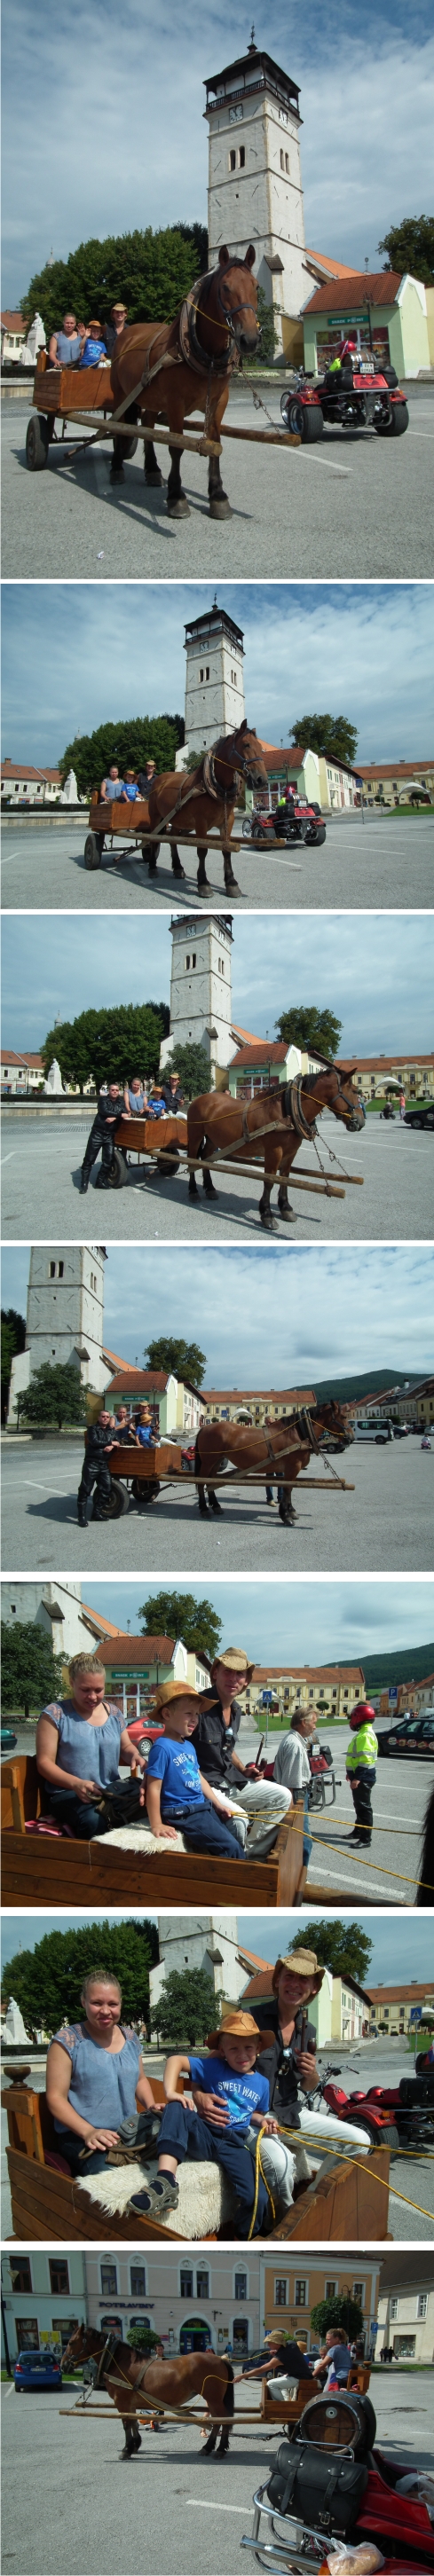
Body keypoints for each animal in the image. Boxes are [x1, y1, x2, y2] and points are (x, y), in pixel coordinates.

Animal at [60, 2329, 233, 2462]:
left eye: (71, 2342)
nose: (63, 2365)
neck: (120, 2361)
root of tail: (220, 2359)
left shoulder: (121, 2401)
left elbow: (126, 2424)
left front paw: (126, 2449)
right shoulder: (130, 2403)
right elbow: (133, 2422)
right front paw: (135, 2445)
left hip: (213, 2398)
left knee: (222, 2420)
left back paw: (219, 2449)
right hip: (212, 2399)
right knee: (217, 2421)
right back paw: (208, 2448)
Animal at [110, 246, 259, 517]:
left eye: (255, 286)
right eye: (225, 287)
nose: (250, 339)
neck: (206, 354)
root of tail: (127, 332)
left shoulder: (219, 402)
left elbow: (215, 442)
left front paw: (218, 496)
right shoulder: (175, 404)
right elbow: (176, 446)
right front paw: (176, 497)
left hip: (150, 397)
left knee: (147, 427)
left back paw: (152, 470)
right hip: (120, 394)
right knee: (117, 426)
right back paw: (116, 467)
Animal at [144, 716, 270, 896]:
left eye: (261, 748)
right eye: (246, 744)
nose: (262, 780)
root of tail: (160, 779)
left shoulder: (227, 822)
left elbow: (226, 850)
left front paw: (231, 883)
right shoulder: (201, 823)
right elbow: (202, 850)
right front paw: (203, 883)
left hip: (177, 819)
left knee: (173, 839)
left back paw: (178, 868)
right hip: (156, 817)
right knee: (153, 838)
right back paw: (152, 867)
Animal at [187, 1066, 367, 1226]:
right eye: (354, 1091)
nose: (361, 1122)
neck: (287, 1111)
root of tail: (198, 1099)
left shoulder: (290, 1153)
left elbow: (285, 1178)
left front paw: (286, 1208)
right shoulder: (274, 1152)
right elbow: (269, 1181)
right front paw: (267, 1214)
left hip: (213, 1139)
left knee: (205, 1158)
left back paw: (210, 1189)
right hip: (195, 1136)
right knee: (191, 1160)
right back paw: (193, 1191)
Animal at [193, 1401, 351, 1514]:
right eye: (344, 1417)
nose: (351, 1437)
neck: (297, 1433)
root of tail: (204, 1428)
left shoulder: (290, 1470)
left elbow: (289, 1489)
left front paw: (290, 1510)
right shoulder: (293, 1467)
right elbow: (288, 1489)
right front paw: (287, 1514)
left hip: (216, 1461)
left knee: (210, 1482)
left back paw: (216, 1506)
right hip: (208, 1462)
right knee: (201, 1482)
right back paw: (204, 1508)